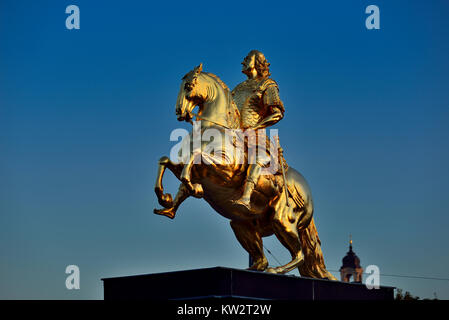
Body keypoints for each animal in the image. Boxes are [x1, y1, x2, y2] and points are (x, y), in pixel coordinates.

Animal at [153, 64, 332, 278]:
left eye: (188, 86)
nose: (179, 112)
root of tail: (308, 193)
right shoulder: (183, 165)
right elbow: (165, 161)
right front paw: (166, 201)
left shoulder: (226, 169)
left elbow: (196, 157)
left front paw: (193, 187)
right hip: (241, 224)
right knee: (262, 259)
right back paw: (255, 267)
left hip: (282, 220)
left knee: (300, 255)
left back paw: (277, 269)